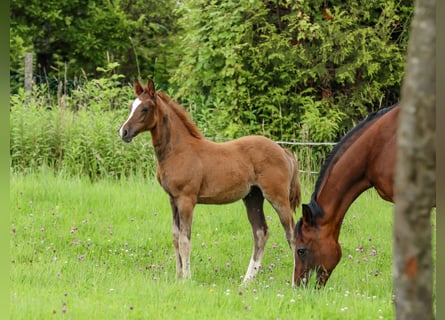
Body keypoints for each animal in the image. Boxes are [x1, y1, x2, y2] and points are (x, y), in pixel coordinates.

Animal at [117, 79, 302, 284]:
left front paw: (186, 279)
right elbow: (175, 237)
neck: (178, 151)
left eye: (145, 108)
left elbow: (185, 240)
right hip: (253, 197)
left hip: (277, 197)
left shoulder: (186, 199)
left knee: (291, 234)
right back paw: (247, 281)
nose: (123, 132)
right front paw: (178, 276)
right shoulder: (173, 199)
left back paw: (295, 280)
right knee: (261, 232)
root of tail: (283, 151)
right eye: (131, 106)